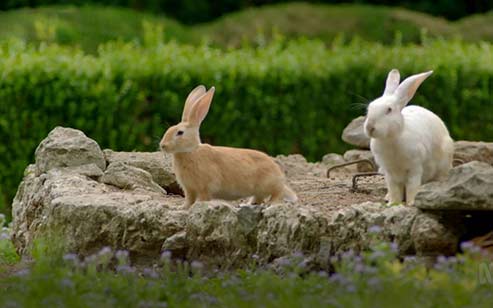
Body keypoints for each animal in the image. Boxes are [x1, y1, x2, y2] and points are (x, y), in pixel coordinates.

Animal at [160, 85, 296, 208]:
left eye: (180, 132)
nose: (162, 145)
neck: (191, 151)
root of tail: (280, 176)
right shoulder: (189, 189)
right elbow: (189, 200)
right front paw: (182, 208)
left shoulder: (204, 187)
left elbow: (203, 198)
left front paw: (199, 205)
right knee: (259, 197)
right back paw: (248, 203)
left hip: (269, 184)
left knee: (277, 194)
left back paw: (271, 203)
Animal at [364, 68, 452, 206]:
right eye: (369, 108)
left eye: (389, 110)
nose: (370, 127)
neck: (391, 139)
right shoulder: (389, 172)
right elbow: (394, 189)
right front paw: (393, 203)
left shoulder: (414, 169)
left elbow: (412, 187)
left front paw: (411, 203)